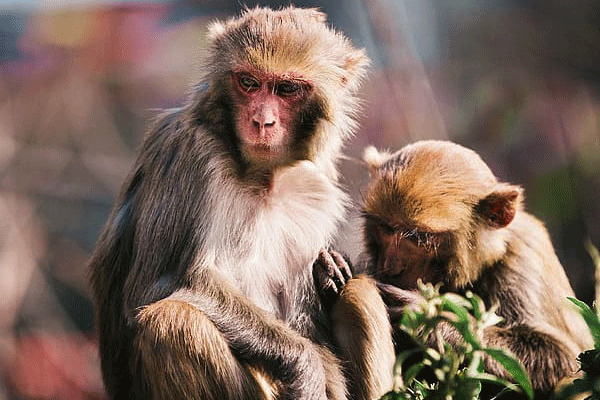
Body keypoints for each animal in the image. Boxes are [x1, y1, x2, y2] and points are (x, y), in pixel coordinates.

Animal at [88, 6, 394, 400]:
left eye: (286, 89)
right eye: (249, 83)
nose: (261, 121)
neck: (261, 178)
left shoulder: (315, 185)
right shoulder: (190, 153)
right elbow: (157, 285)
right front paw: (304, 366)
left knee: (359, 292)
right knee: (175, 321)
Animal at [360, 140, 592, 396]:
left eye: (418, 238)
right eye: (386, 228)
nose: (392, 267)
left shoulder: (521, 261)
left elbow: (564, 357)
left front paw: (428, 317)